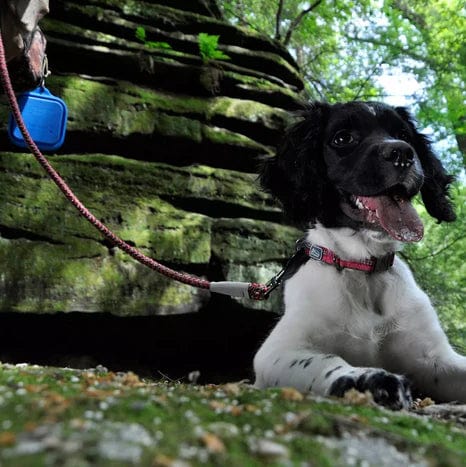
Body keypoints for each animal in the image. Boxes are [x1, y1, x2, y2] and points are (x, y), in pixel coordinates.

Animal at [255, 101, 466, 410]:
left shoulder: (434, 359)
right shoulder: (276, 351)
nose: (402, 153)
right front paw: (366, 379)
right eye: (343, 138)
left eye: (403, 134)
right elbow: (324, 360)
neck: (363, 267)